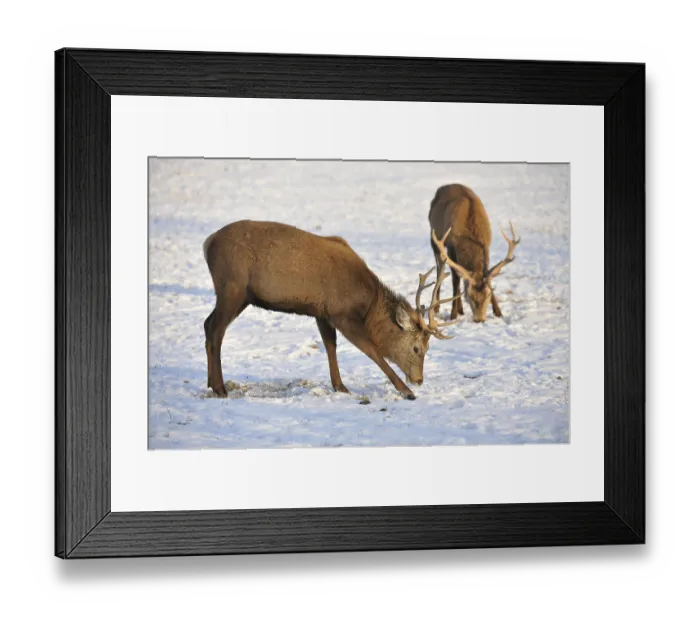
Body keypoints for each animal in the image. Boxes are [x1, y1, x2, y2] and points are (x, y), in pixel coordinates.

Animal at [202, 220, 461, 401]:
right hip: (232, 287)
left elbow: (330, 346)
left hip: (240, 296)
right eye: (417, 348)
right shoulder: (342, 314)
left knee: (207, 324)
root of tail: (207, 243)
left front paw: (340, 386)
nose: (419, 379)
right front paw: (405, 391)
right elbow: (372, 351)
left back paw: (210, 382)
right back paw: (220, 387)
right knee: (216, 329)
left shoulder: (322, 312)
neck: (367, 304)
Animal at [428, 183, 520, 323]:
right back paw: (438, 308)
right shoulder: (451, 247)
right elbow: (455, 280)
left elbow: (487, 275)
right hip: (435, 240)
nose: (479, 319)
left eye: (488, 294)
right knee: (440, 271)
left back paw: (460, 310)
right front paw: (453, 314)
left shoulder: (486, 245)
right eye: (469, 296)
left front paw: (498, 312)